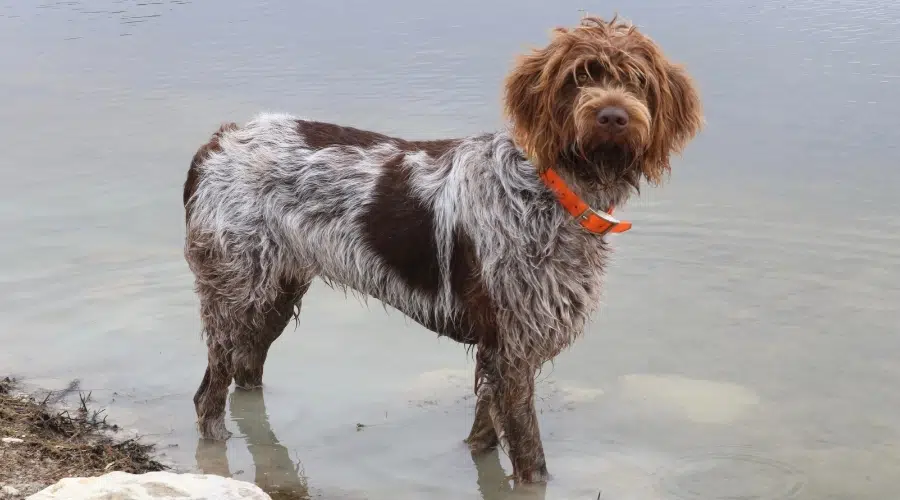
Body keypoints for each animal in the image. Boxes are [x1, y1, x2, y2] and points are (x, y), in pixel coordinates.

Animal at [183, 16, 704, 484]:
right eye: (579, 77)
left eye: (637, 81)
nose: (613, 117)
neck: (551, 189)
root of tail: (221, 139)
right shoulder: (513, 351)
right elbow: (531, 460)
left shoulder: (499, 354)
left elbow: (483, 438)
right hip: (236, 295)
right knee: (208, 396)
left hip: (275, 293)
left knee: (247, 377)